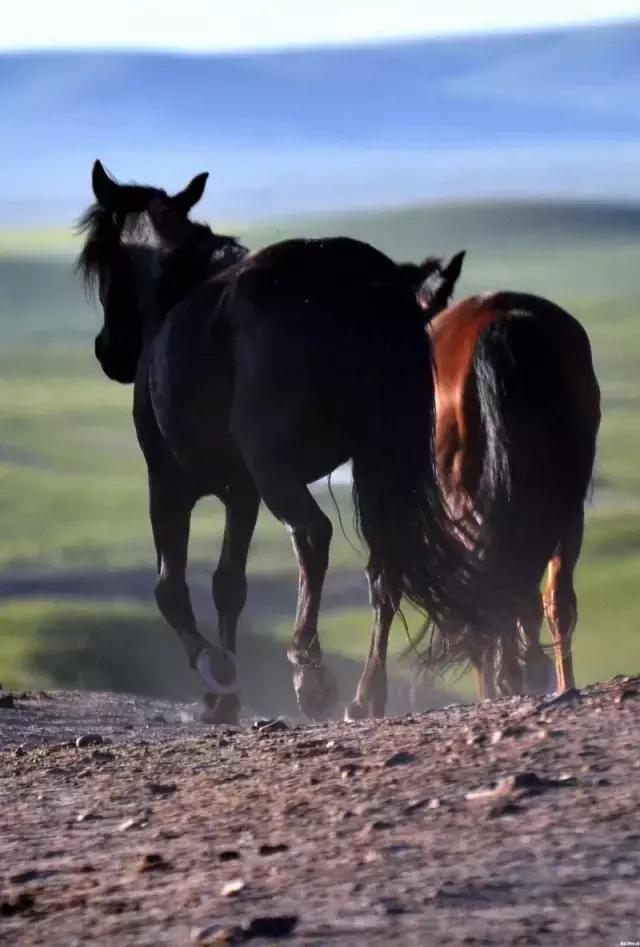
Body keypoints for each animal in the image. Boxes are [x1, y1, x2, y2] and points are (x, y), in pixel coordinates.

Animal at [79, 165, 496, 724]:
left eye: (102, 258)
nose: (110, 352)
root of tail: (362, 286)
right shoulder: (241, 492)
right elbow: (229, 584)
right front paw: (226, 695)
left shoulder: (168, 482)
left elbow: (171, 589)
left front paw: (217, 671)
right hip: (379, 462)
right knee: (385, 566)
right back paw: (366, 695)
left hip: (277, 470)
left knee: (313, 536)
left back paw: (310, 672)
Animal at [348, 256, 596, 716]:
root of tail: (503, 322)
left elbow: (387, 583)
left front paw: (367, 698)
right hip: (564, 501)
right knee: (550, 596)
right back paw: (550, 679)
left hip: (463, 498)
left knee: (491, 585)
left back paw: (509, 679)